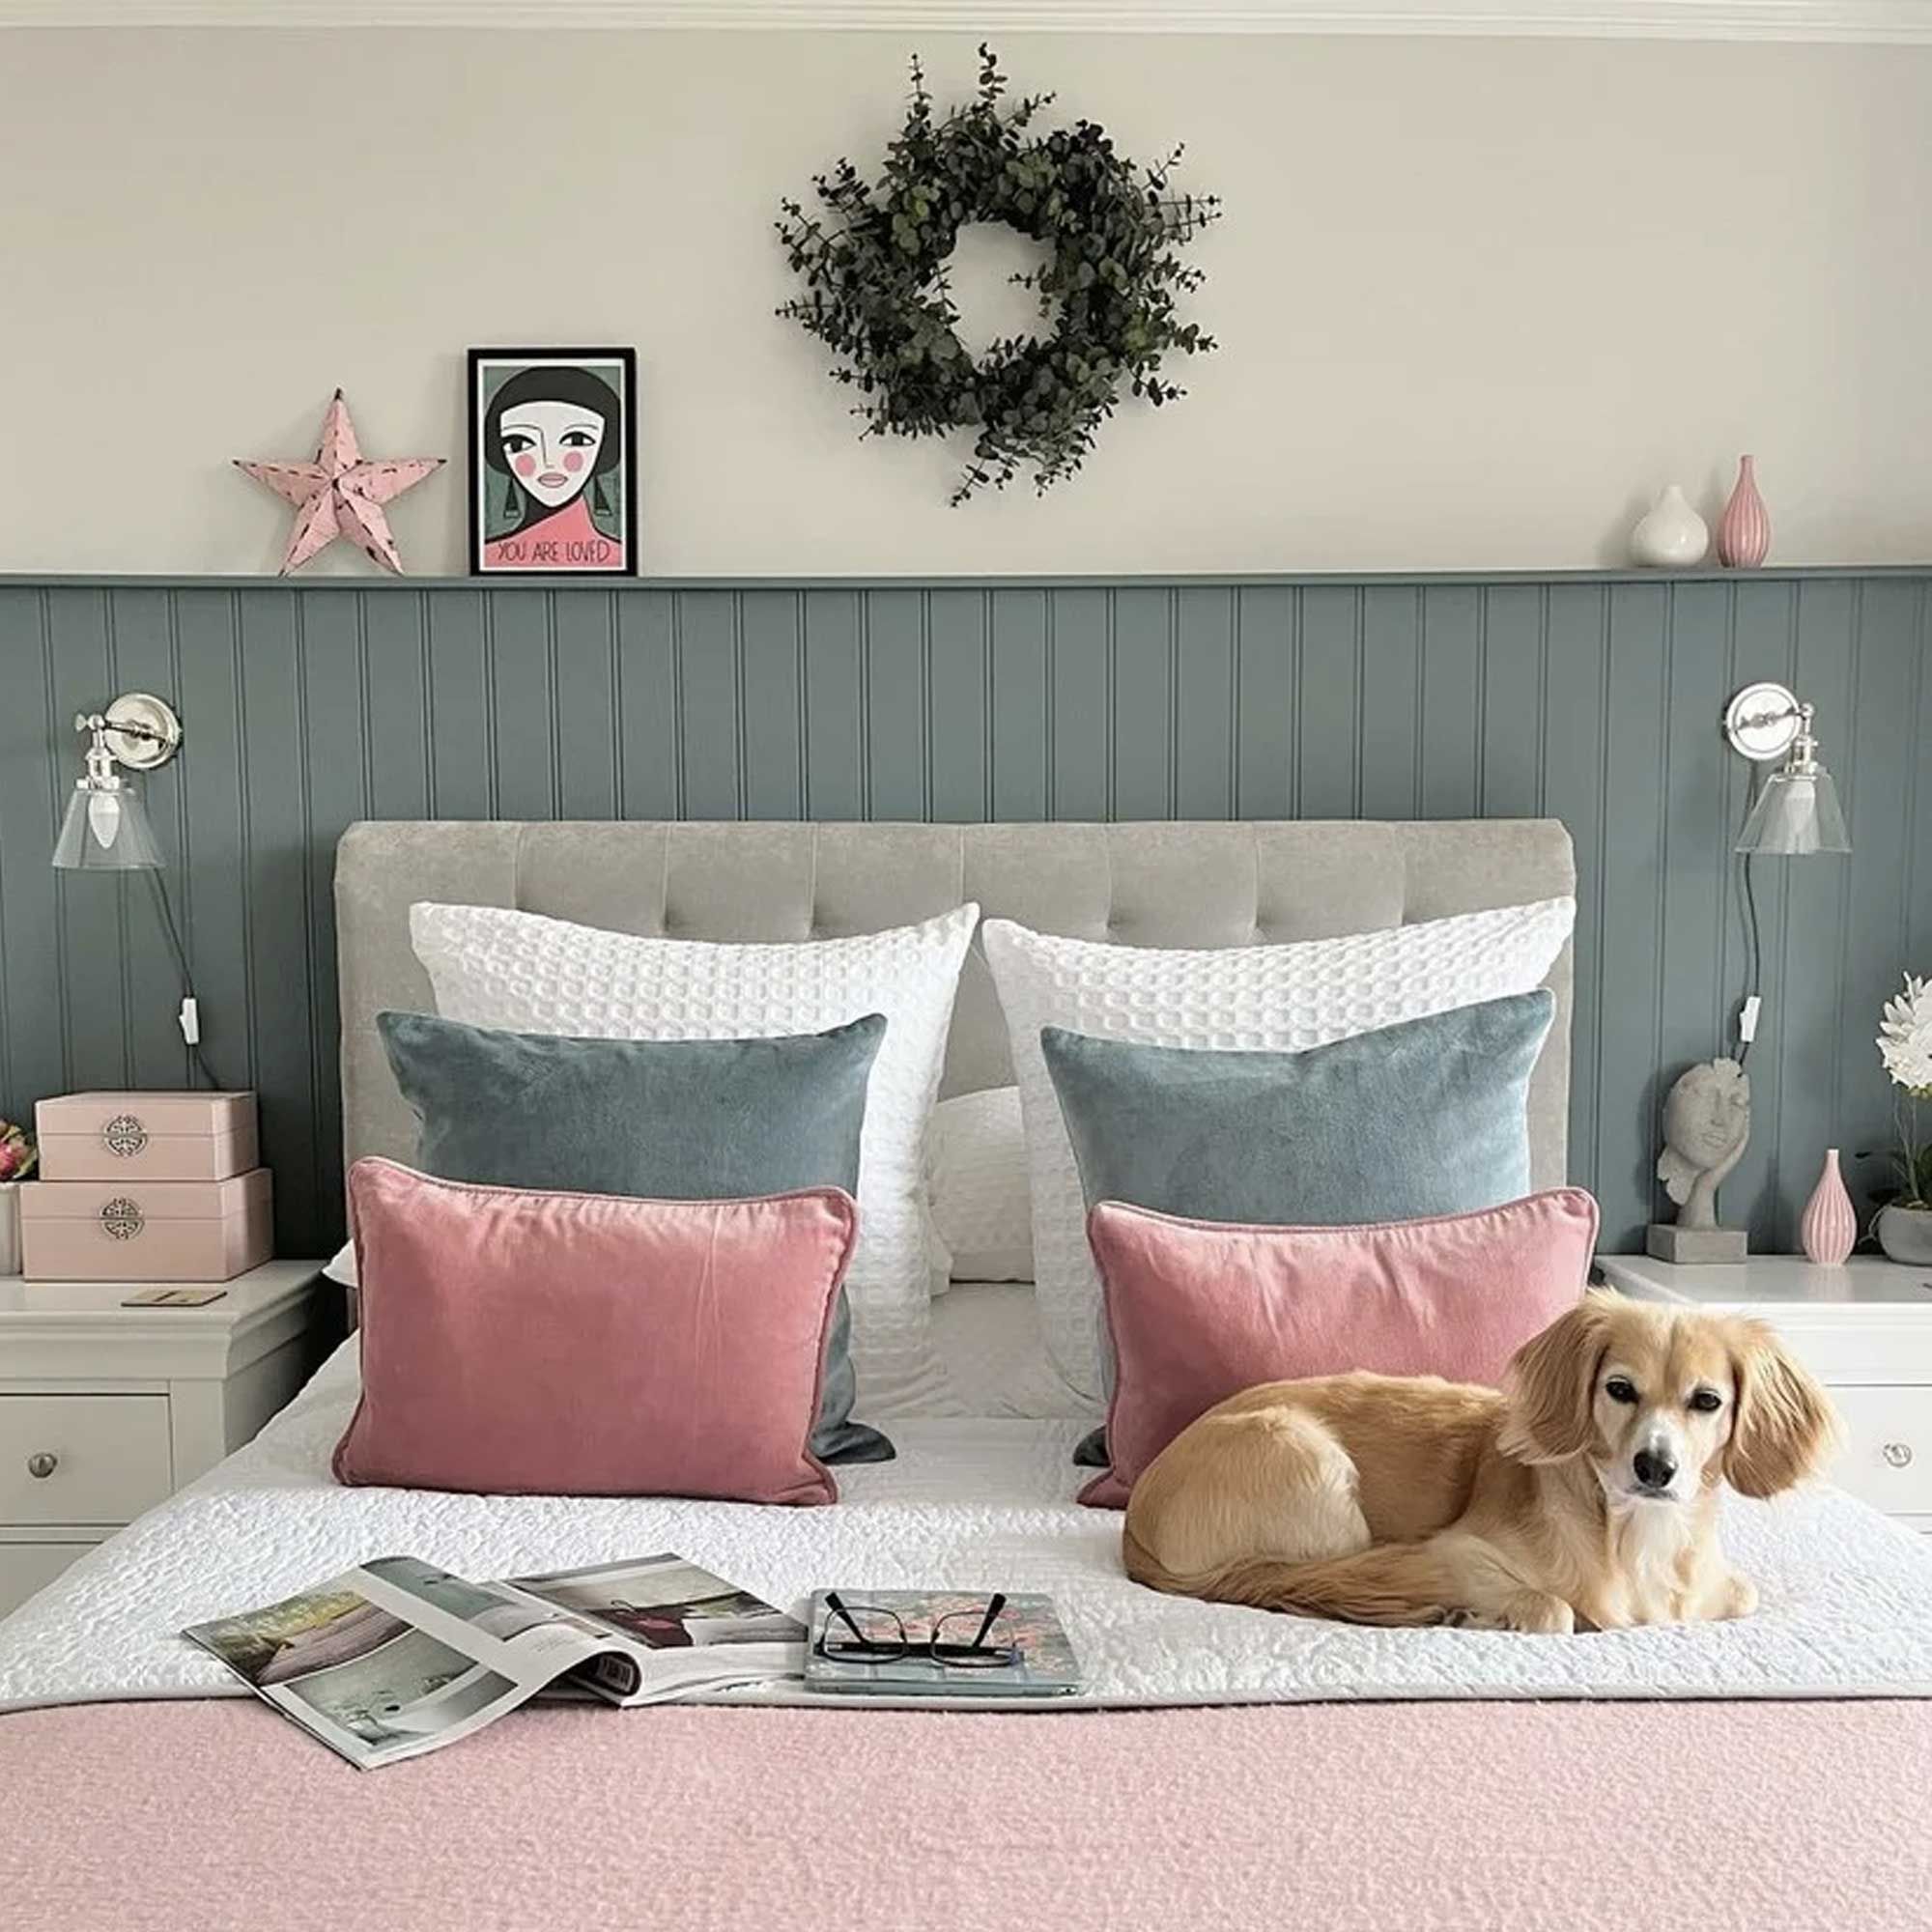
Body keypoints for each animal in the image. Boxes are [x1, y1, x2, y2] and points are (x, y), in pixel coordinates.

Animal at [1128, 1298, 1832, 1631]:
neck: (1634, 1538)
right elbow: (1553, 1608)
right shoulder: (1453, 1553)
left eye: (1706, 1401)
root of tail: (1138, 1518)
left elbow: (1741, 1594)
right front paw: (1488, 1613)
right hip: (1311, 1464)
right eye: (1620, 1389)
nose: (1654, 1467)